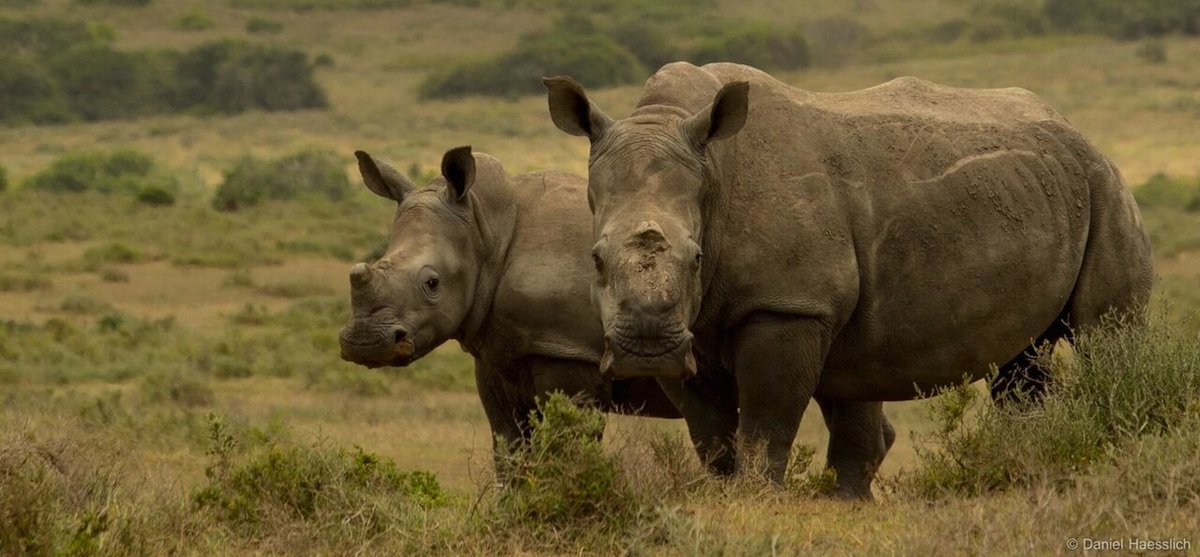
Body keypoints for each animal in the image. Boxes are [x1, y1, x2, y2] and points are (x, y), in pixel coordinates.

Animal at [338, 146, 680, 466]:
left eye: (432, 283)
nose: (365, 342)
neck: (486, 230)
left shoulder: (568, 348)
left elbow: (569, 449)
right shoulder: (497, 354)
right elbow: (509, 447)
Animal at [544, 62, 1153, 498]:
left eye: (696, 258)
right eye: (595, 259)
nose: (645, 347)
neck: (711, 174)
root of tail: (1079, 132)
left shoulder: (790, 304)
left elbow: (766, 421)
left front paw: (757, 500)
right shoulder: (694, 329)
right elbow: (710, 432)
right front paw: (724, 497)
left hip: (1105, 186)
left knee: (1108, 338)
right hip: (1046, 189)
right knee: (1021, 363)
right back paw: (1025, 466)